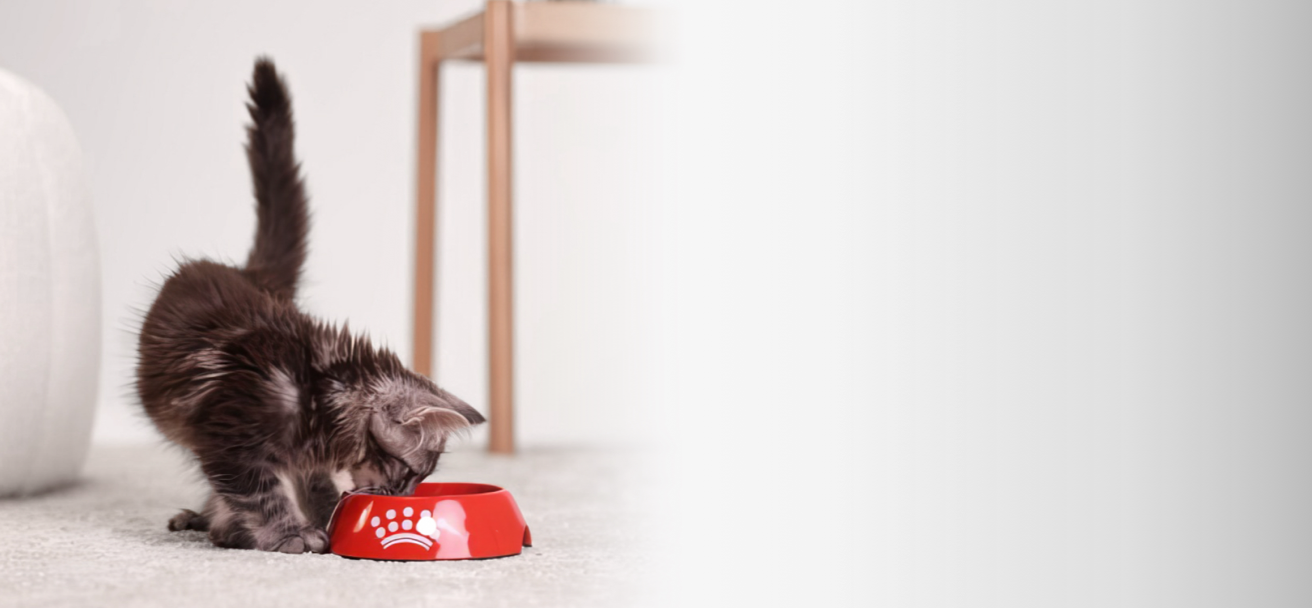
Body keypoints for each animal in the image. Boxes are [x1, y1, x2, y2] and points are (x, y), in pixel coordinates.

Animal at [135, 59, 485, 554]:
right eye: (410, 472)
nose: (405, 497)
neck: (320, 389)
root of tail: (253, 275)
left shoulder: (300, 455)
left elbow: (312, 483)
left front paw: (325, 516)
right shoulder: (229, 438)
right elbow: (261, 493)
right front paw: (290, 534)